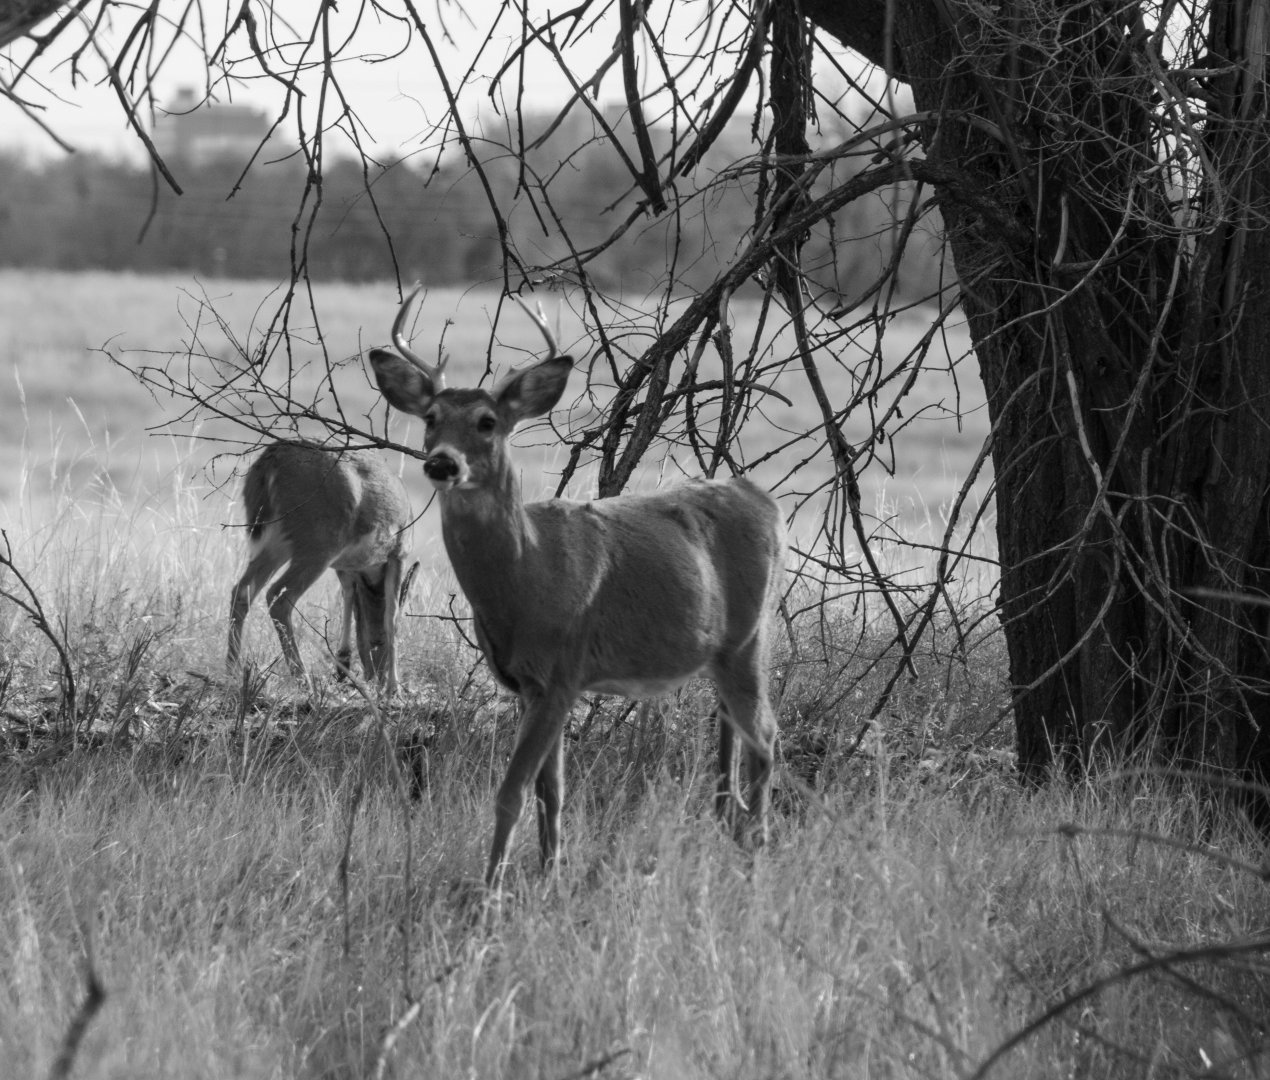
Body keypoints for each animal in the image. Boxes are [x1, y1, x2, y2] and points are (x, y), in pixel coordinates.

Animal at [227, 440, 419, 694]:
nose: (376, 675)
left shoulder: (348, 565)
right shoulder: (399, 553)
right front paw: (393, 689)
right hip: (320, 541)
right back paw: (303, 679)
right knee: (278, 595)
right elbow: (392, 619)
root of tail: (271, 459)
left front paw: (345, 665)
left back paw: (231, 670)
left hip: (276, 541)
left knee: (242, 590)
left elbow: (351, 603)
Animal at [369, 284, 785, 891]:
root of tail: (766, 502)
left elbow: (513, 792)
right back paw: (736, 834)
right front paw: (549, 875)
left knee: (767, 737)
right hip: (720, 654)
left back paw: (758, 849)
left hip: (749, 638)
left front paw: (493, 890)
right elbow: (553, 791)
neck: (526, 576)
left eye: (487, 421)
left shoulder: (561, 671)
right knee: (733, 743)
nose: (442, 463)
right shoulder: (527, 684)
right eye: (430, 417)